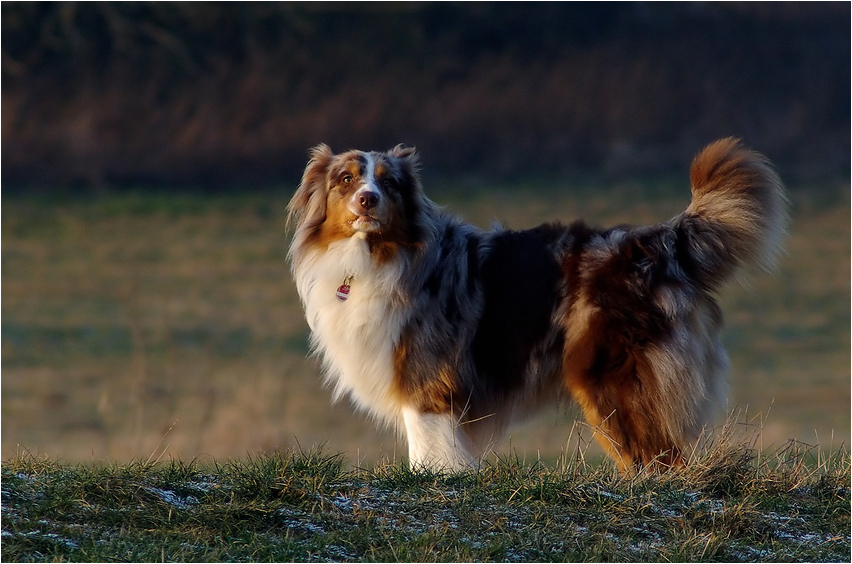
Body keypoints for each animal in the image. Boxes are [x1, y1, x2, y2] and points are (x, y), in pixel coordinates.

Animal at [290, 139, 788, 474]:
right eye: (346, 180)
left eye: (388, 183)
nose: (367, 199)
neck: (375, 256)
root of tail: (657, 242)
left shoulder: (428, 383)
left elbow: (430, 454)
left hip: (614, 382)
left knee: (662, 461)